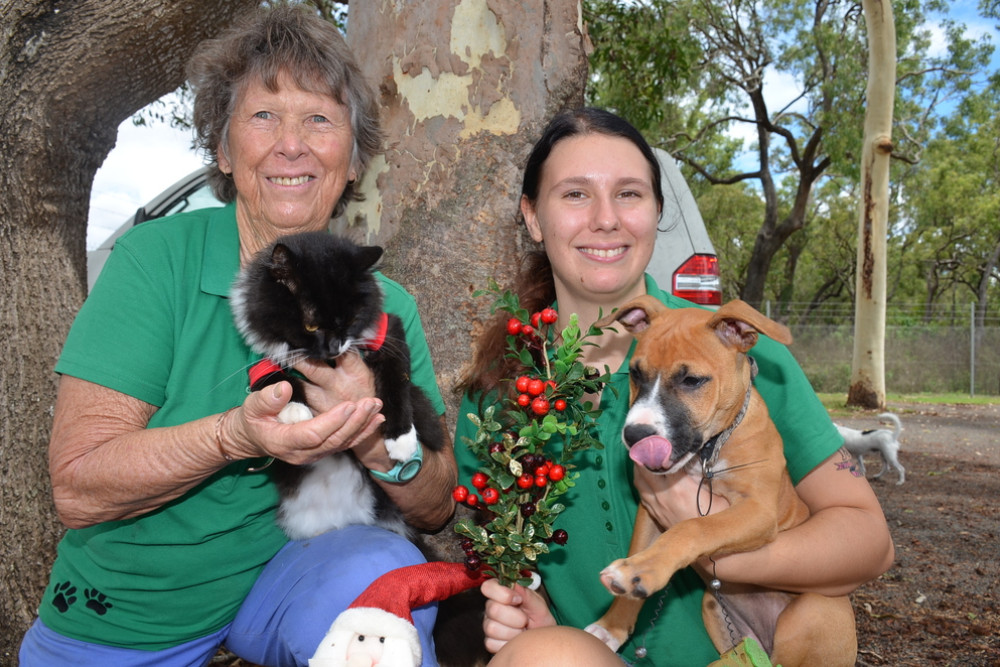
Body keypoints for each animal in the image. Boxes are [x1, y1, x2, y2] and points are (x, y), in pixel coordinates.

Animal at [232, 232, 444, 540]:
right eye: (310, 326)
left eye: (352, 320)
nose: (334, 348)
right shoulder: (260, 363)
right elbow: (278, 380)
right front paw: (295, 410)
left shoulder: (388, 331)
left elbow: (396, 382)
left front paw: (401, 439)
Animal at [584, 298, 860, 667]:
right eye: (637, 374)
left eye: (691, 380)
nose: (635, 436)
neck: (707, 456)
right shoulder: (650, 510)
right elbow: (641, 550)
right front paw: (611, 625)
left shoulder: (757, 511)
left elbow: (693, 528)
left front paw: (636, 572)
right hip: (714, 608)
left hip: (810, 612)